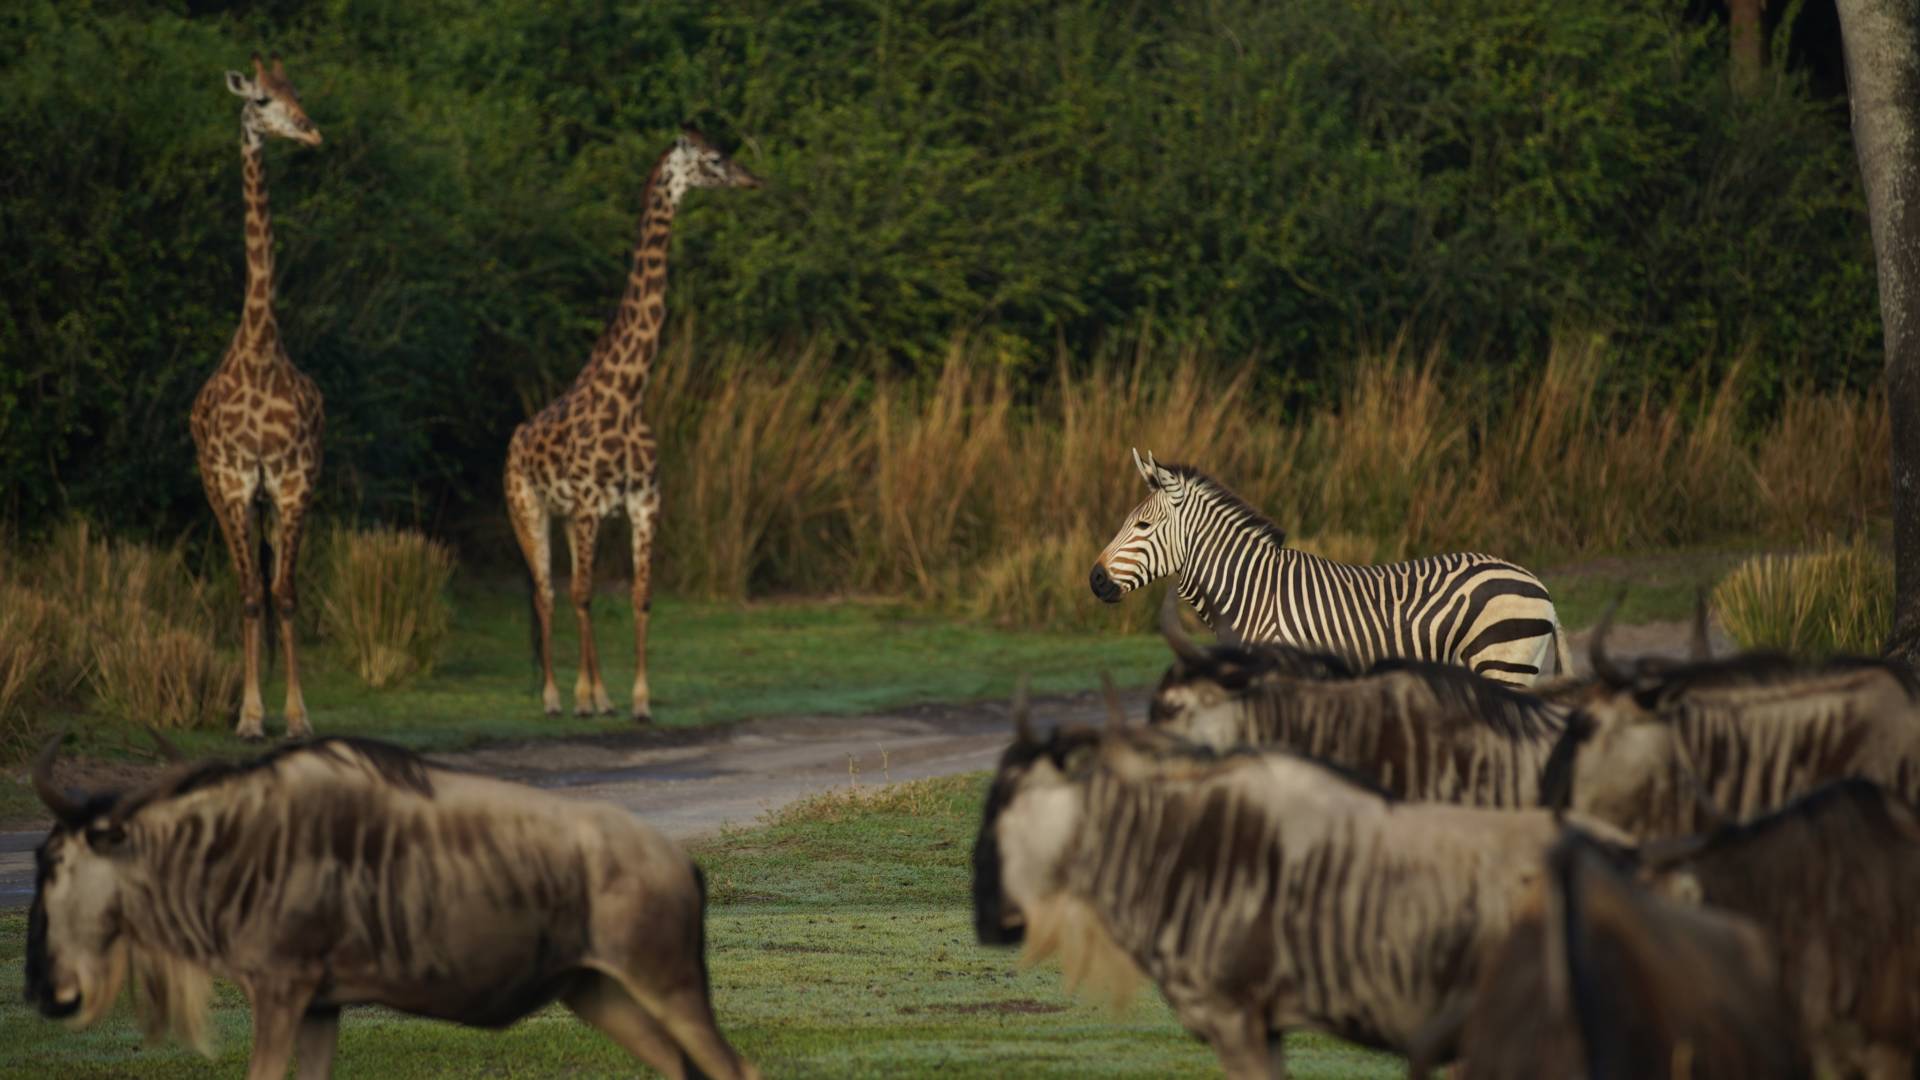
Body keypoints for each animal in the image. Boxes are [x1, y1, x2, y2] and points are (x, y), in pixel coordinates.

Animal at [506, 127, 760, 714]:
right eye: (715, 159)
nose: (751, 179)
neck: (629, 392)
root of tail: (515, 438)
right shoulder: (586, 505)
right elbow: (581, 595)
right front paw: (584, 697)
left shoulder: (644, 502)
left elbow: (640, 598)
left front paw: (638, 700)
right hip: (527, 507)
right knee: (548, 593)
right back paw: (556, 696)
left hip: (568, 517)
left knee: (571, 592)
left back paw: (596, 694)